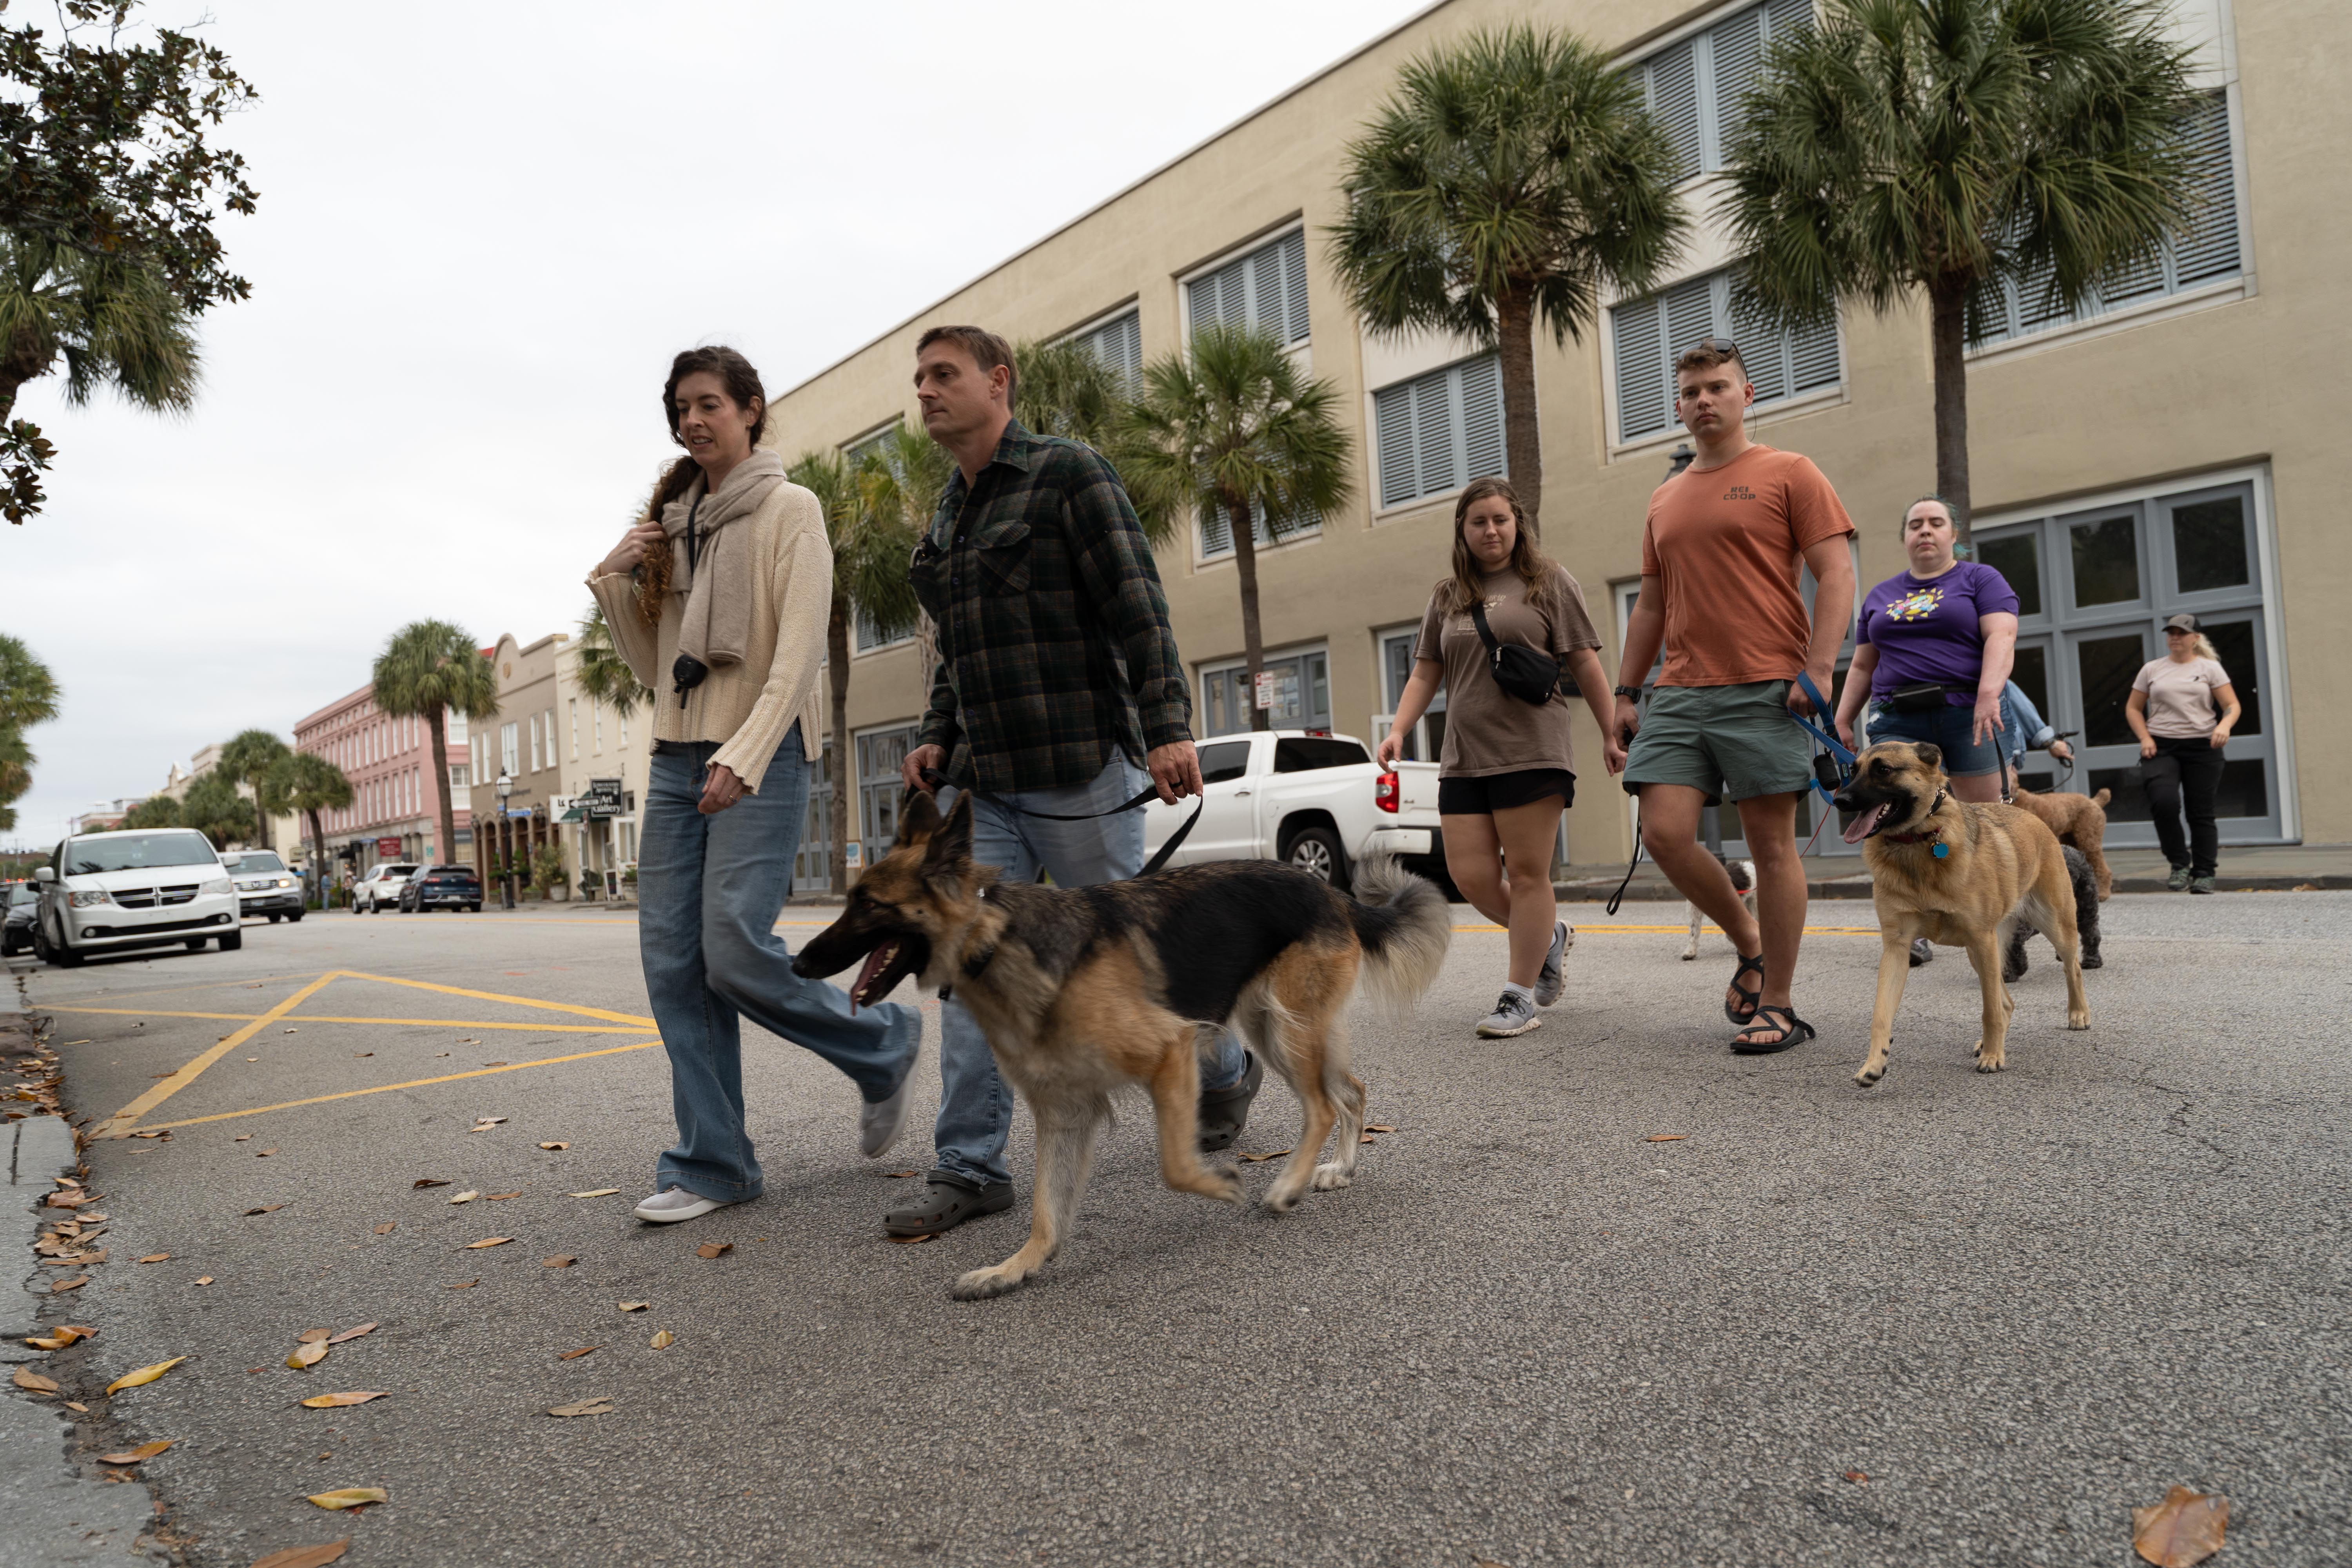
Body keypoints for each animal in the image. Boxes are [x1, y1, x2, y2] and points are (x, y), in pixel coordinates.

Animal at [792, 790, 1452, 1300]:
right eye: (851, 901)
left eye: (868, 905)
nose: (798, 965)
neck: (997, 939)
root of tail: (1332, 892)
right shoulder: (1064, 1113)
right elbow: (1047, 1210)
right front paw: (1016, 1268)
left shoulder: (1170, 1052)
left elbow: (1176, 1165)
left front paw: (1221, 1184)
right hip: (1279, 1029)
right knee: (1350, 1092)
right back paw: (1339, 1168)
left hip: (1289, 1031)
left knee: (1321, 1106)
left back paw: (1288, 1185)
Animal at [1831, 741, 2090, 1086]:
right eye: (1853, 770)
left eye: (1883, 770)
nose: (1840, 800)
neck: (1918, 840)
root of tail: (2027, 814)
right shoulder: (1897, 949)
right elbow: (1881, 1014)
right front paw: (1874, 1063)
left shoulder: (1982, 939)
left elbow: (1989, 1010)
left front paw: (1993, 1057)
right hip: (1979, 952)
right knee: (2007, 1001)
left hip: (2051, 927)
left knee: (2071, 969)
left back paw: (2077, 1013)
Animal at [2003, 845, 2104, 982]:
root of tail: (2076, 852)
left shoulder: (2019, 929)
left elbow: (2013, 949)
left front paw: (2016, 970)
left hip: (2084, 908)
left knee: (2091, 933)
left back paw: (2092, 961)